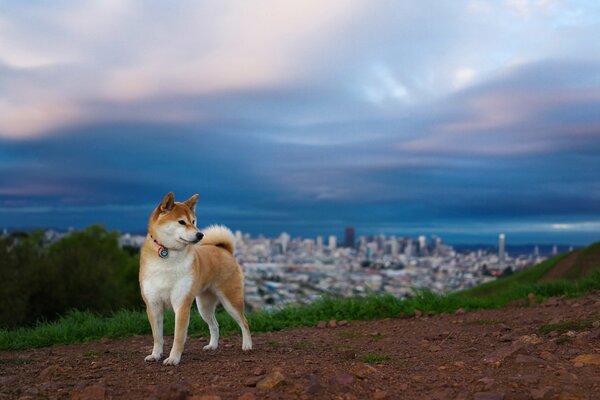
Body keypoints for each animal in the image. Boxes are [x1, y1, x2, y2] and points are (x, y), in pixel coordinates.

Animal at [139, 192, 252, 364]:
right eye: (181, 222)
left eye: (193, 221)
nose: (200, 234)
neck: (168, 254)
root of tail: (225, 250)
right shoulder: (153, 305)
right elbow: (157, 337)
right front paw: (156, 355)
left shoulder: (181, 304)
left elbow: (178, 337)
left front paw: (173, 359)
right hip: (204, 306)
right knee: (214, 325)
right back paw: (212, 346)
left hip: (231, 301)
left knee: (244, 322)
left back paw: (247, 345)